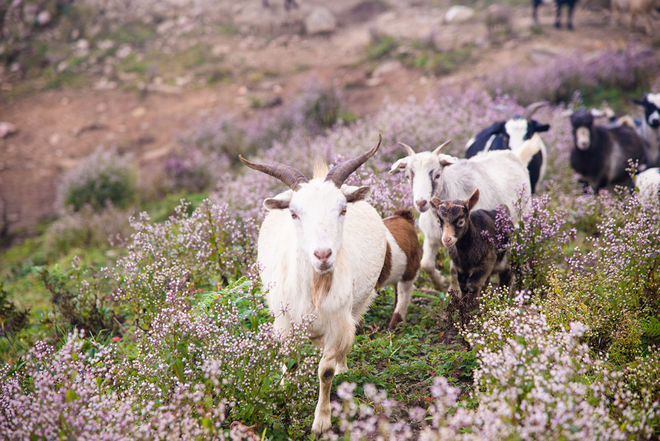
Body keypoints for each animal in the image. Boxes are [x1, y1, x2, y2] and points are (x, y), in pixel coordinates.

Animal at [241, 136, 386, 432]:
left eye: (343, 209)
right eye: (294, 213)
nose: (322, 255)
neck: (314, 292)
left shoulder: (337, 324)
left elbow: (326, 371)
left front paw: (322, 422)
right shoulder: (284, 322)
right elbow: (290, 362)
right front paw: (285, 395)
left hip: (357, 306)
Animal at [390, 138, 540, 288]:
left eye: (437, 175)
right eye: (408, 176)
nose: (421, 203)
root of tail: (512, 154)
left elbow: (453, 270)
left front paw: (452, 290)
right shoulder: (431, 237)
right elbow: (425, 264)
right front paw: (439, 283)